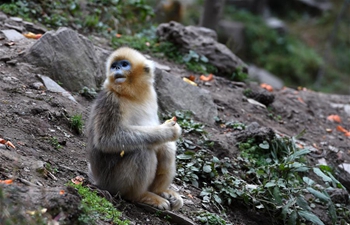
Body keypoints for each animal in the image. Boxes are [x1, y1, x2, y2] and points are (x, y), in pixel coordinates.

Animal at [87, 46, 183, 210]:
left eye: (124, 64)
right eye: (114, 66)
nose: (117, 68)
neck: (131, 96)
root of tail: (98, 180)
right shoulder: (110, 100)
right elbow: (107, 140)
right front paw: (166, 131)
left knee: (167, 150)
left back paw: (160, 191)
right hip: (113, 183)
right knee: (142, 151)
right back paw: (143, 196)